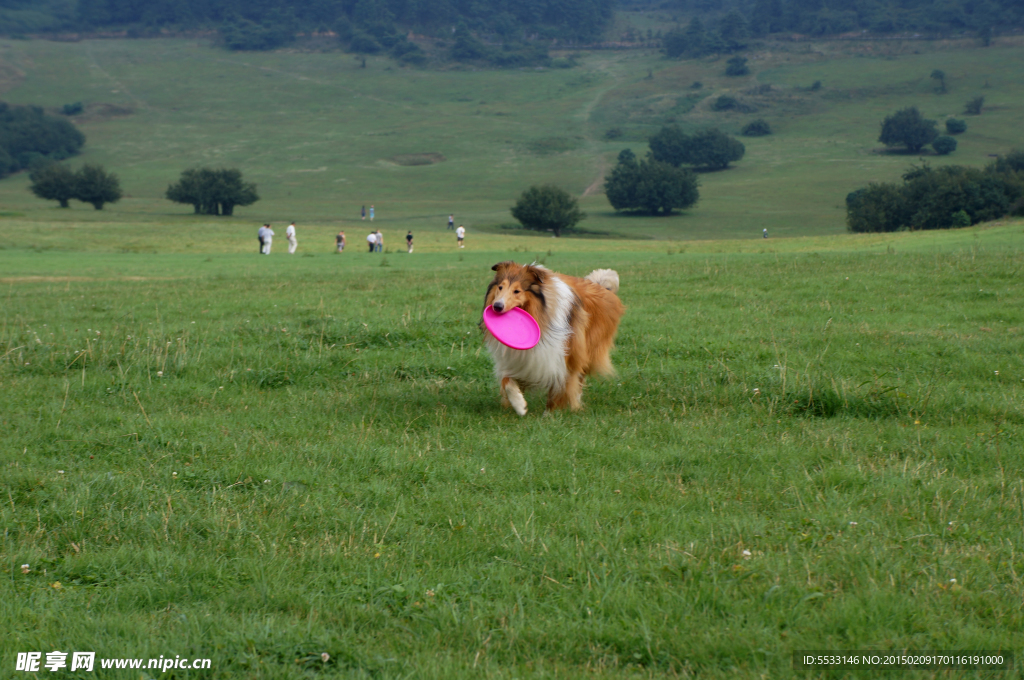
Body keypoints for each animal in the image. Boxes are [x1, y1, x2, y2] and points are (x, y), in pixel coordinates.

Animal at [481, 260, 622, 417]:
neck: (537, 311)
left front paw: (550, 414)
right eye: (500, 287)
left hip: (586, 348)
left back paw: (575, 403)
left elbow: (559, 386)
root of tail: (602, 286)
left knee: (579, 377)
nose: (497, 306)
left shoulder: (560, 356)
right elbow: (507, 381)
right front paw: (519, 405)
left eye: (517, 291)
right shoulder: (516, 360)